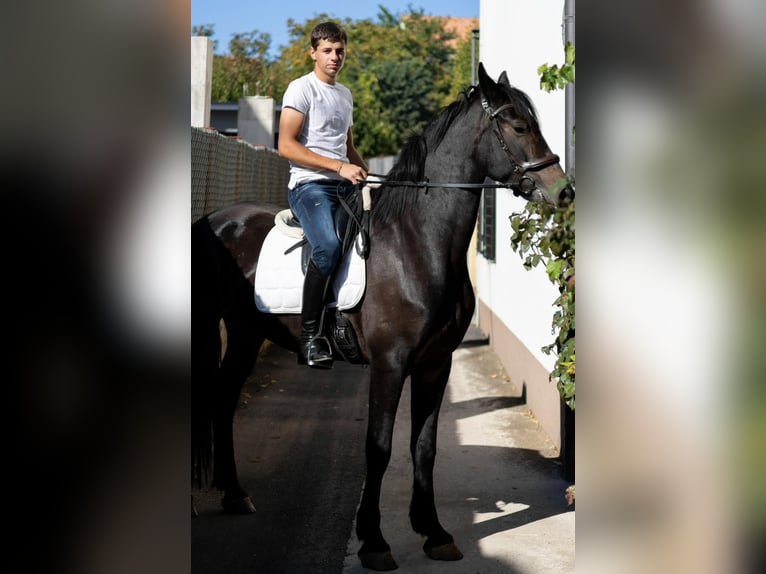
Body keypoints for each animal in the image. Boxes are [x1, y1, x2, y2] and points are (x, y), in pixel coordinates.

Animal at [191, 62, 573, 571]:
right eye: (517, 126)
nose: (564, 191)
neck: (418, 245)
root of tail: (212, 220)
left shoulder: (435, 365)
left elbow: (424, 447)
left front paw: (434, 533)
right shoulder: (389, 365)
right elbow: (379, 447)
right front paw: (374, 541)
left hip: (247, 333)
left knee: (224, 399)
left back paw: (235, 494)